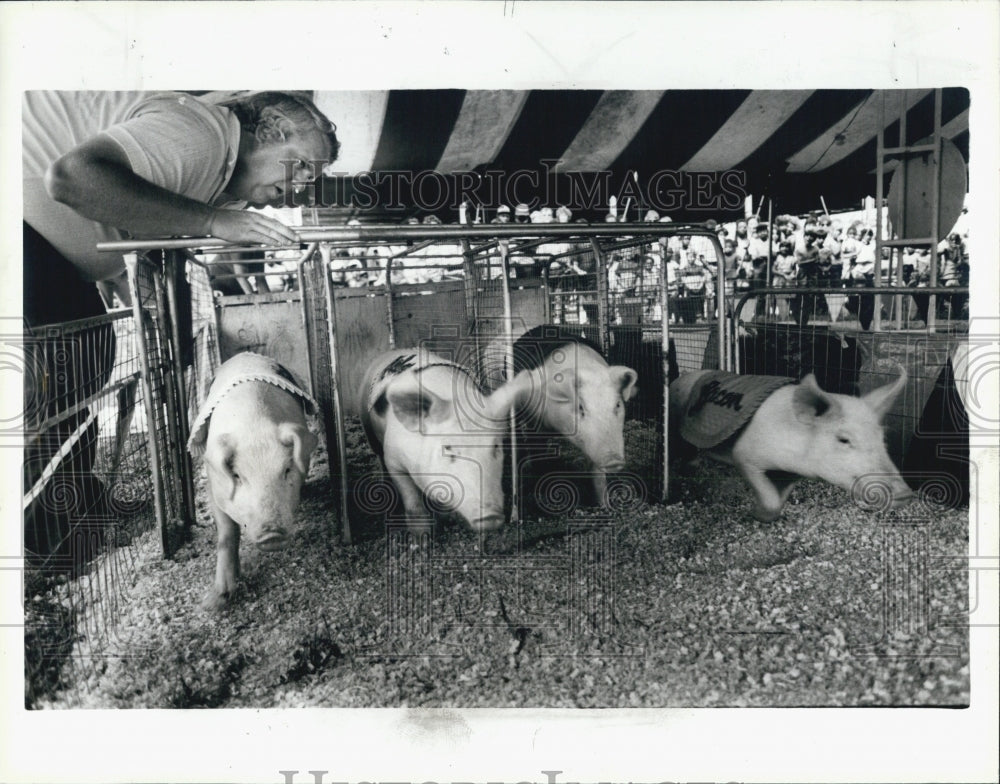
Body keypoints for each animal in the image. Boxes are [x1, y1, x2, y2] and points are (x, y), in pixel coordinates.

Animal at [186, 352, 314, 608]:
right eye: (237, 476)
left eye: (287, 470)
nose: (272, 533)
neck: (252, 425)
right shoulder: (214, 485)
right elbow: (226, 534)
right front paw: (214, 603)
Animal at [500, 328, 640, 506]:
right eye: (580, 407)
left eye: (617, 405)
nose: (614, 460)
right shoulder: (535, 423)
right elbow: (538, 453)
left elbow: (597, 473)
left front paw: (604, 505)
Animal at [672, 370, 916, 520]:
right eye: (844, 439)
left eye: (881, 438)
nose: (906, 494)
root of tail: (682, 377)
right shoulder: (744, 456)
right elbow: (770, 499)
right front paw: (756, 515)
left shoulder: (791, 474)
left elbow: (780, 499)